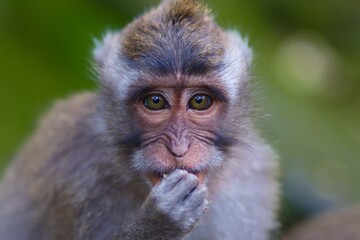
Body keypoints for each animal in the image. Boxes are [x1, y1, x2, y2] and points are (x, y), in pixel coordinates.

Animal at [0, 0, 280, 240]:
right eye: (155, 101)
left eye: (200, 101)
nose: (179, 148)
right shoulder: (74, 178)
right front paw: (159, 221)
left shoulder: (251, 181)